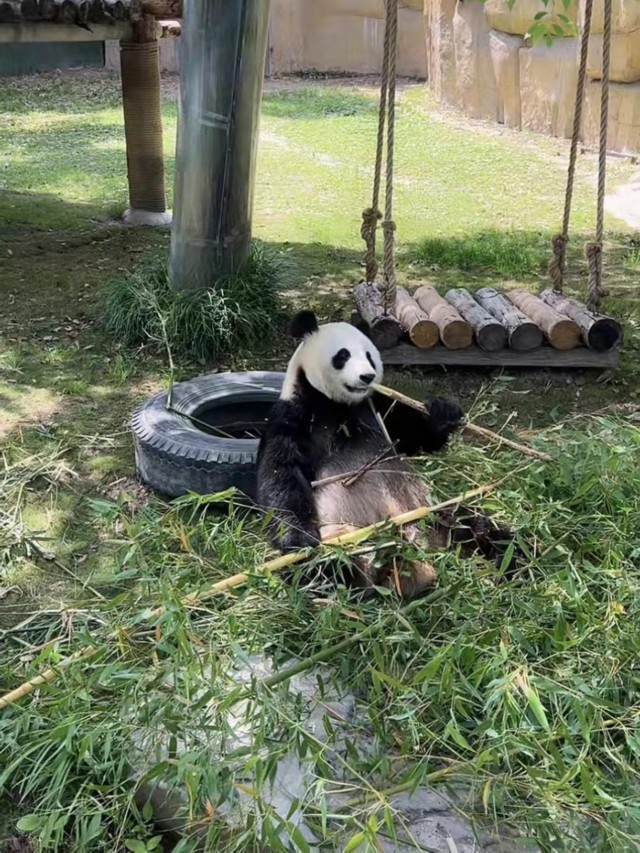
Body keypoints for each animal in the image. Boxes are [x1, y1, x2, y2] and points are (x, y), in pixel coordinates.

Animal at [255, 310, 516, 596]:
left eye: (369, 355)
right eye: (343, 355)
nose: (367, 377)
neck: (336, 404)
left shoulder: (378, 408)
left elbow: (416, 436)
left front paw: (442, 412)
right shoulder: (294, 415)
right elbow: (282, 474)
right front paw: (300, 539)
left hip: (433, 512)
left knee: (480, 526)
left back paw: (513, 561)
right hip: (347, 531)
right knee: (327, 564)